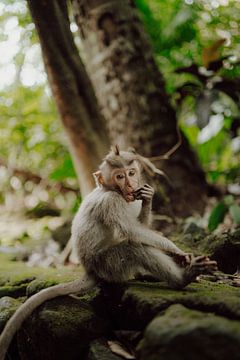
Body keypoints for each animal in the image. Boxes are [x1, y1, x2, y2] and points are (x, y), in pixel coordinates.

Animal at [0, 147, 217, 360]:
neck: (112, 191)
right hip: (108, 264)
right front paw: (177, 250)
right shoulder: (110, 202)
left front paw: (148, 197)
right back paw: (182, 278)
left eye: (131, 173)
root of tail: (89, 270)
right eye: (119, 176)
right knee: (134, 247)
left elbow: (141, 224)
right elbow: (132, 231)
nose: (130, 184)